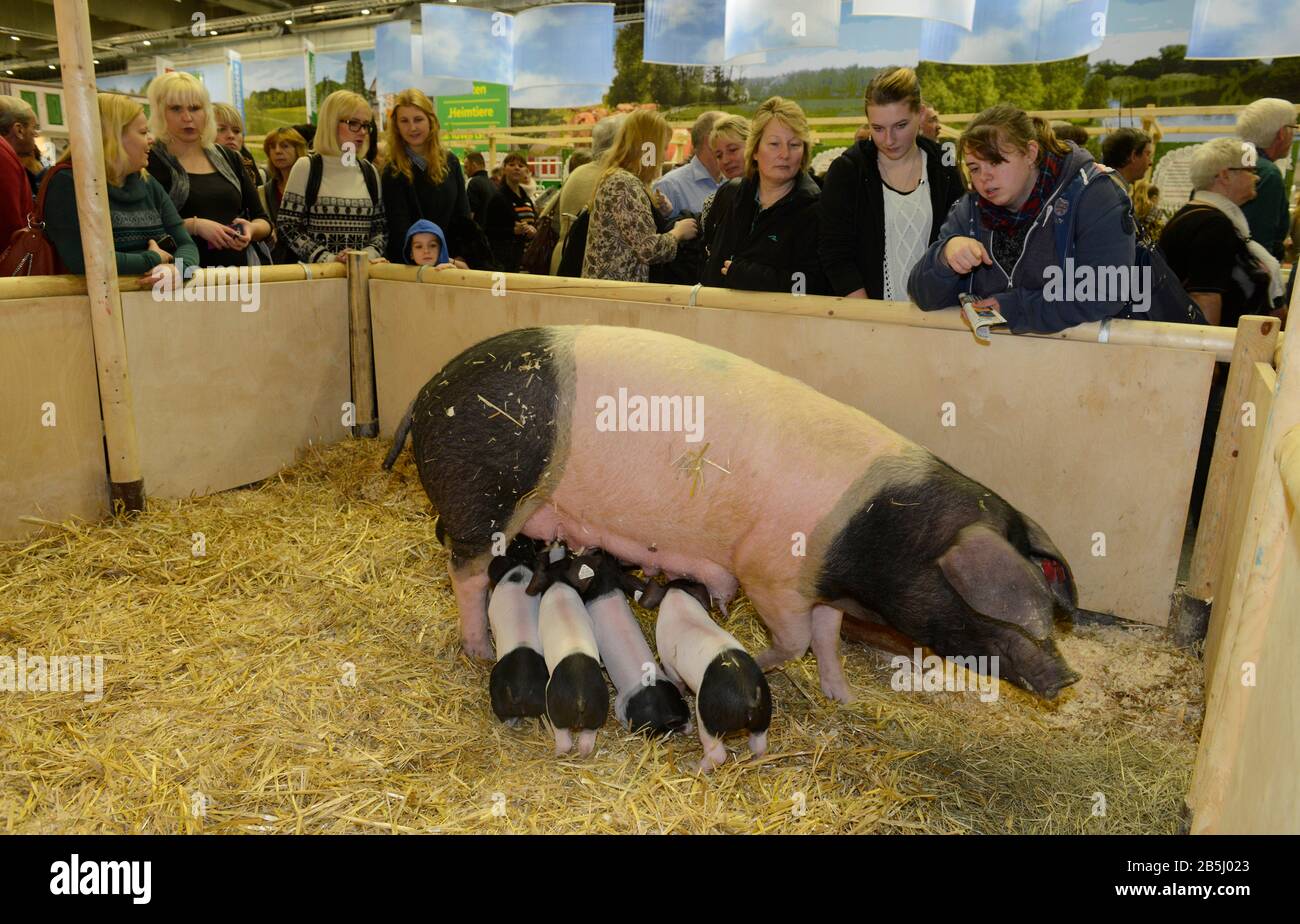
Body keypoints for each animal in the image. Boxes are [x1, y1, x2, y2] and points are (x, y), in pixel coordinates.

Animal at [384, 324, 1076, 701]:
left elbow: (826, 637)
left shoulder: (819, 584)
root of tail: (425, 390)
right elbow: (795, 640)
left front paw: (842, 695)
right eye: (997, 614)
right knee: (467, 573)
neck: (875, 536)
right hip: (484, 496)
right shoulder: (770, 572)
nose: (1067, 679)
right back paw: (477, 649)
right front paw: (759, 659)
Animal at [525, 548, 611, 753]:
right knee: (587, 741)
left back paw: (559, 752)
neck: (558, 584)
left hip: (554, 706)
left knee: (564, 740)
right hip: (599, 708)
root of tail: (580, 698)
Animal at [642, 577, 769, 774]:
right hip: (763, 715)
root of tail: (749, 699)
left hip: (708, 720)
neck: (677, 595)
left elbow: (677, 682)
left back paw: (693, 768)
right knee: (760, 745)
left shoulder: (669, 663)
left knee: (717, 755)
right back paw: (754, 760)